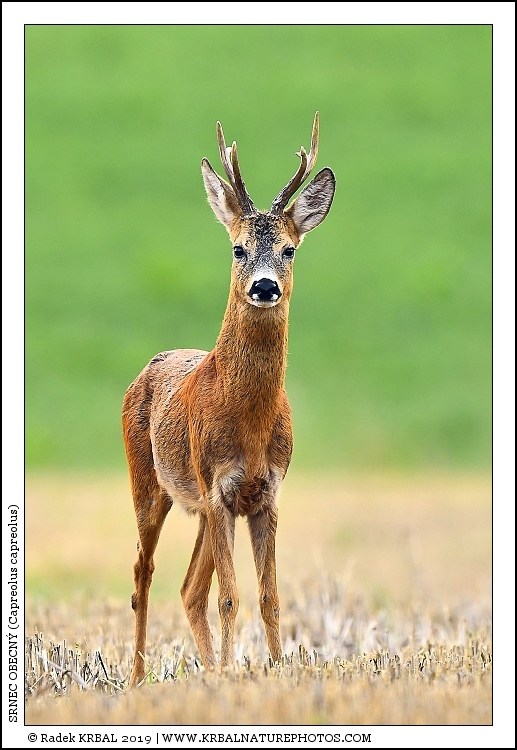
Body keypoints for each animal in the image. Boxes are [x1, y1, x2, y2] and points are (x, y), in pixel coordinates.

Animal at [122, 112, 335, 687]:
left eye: (289, 249)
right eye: (238, 248)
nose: (264, 287)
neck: (250, 423)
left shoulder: (265, 493)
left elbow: (268, 596)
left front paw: (274, 671)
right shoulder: (219, 488)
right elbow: (230, 596)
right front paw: (232, 674)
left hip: (196, 505)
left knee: (188, 588)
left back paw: (204, 667)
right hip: (150, 484)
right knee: (143, 575)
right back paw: (138, 676)